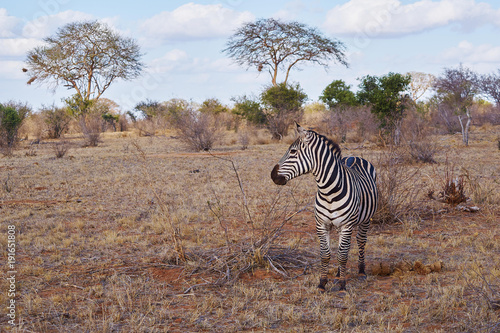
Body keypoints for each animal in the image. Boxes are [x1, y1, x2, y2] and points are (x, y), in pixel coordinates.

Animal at [272, 123, 376, 290]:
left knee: (360, 241)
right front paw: (322, 283)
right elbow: (326, 254)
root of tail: (354, 156)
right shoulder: (322, 224)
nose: (272, 175)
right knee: (343, 246)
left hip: (365, 219)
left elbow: (342, 255)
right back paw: (339, 274)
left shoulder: (347, 224)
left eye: (293, 151)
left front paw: (342, 285)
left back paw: (361, 271)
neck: (329, 191)